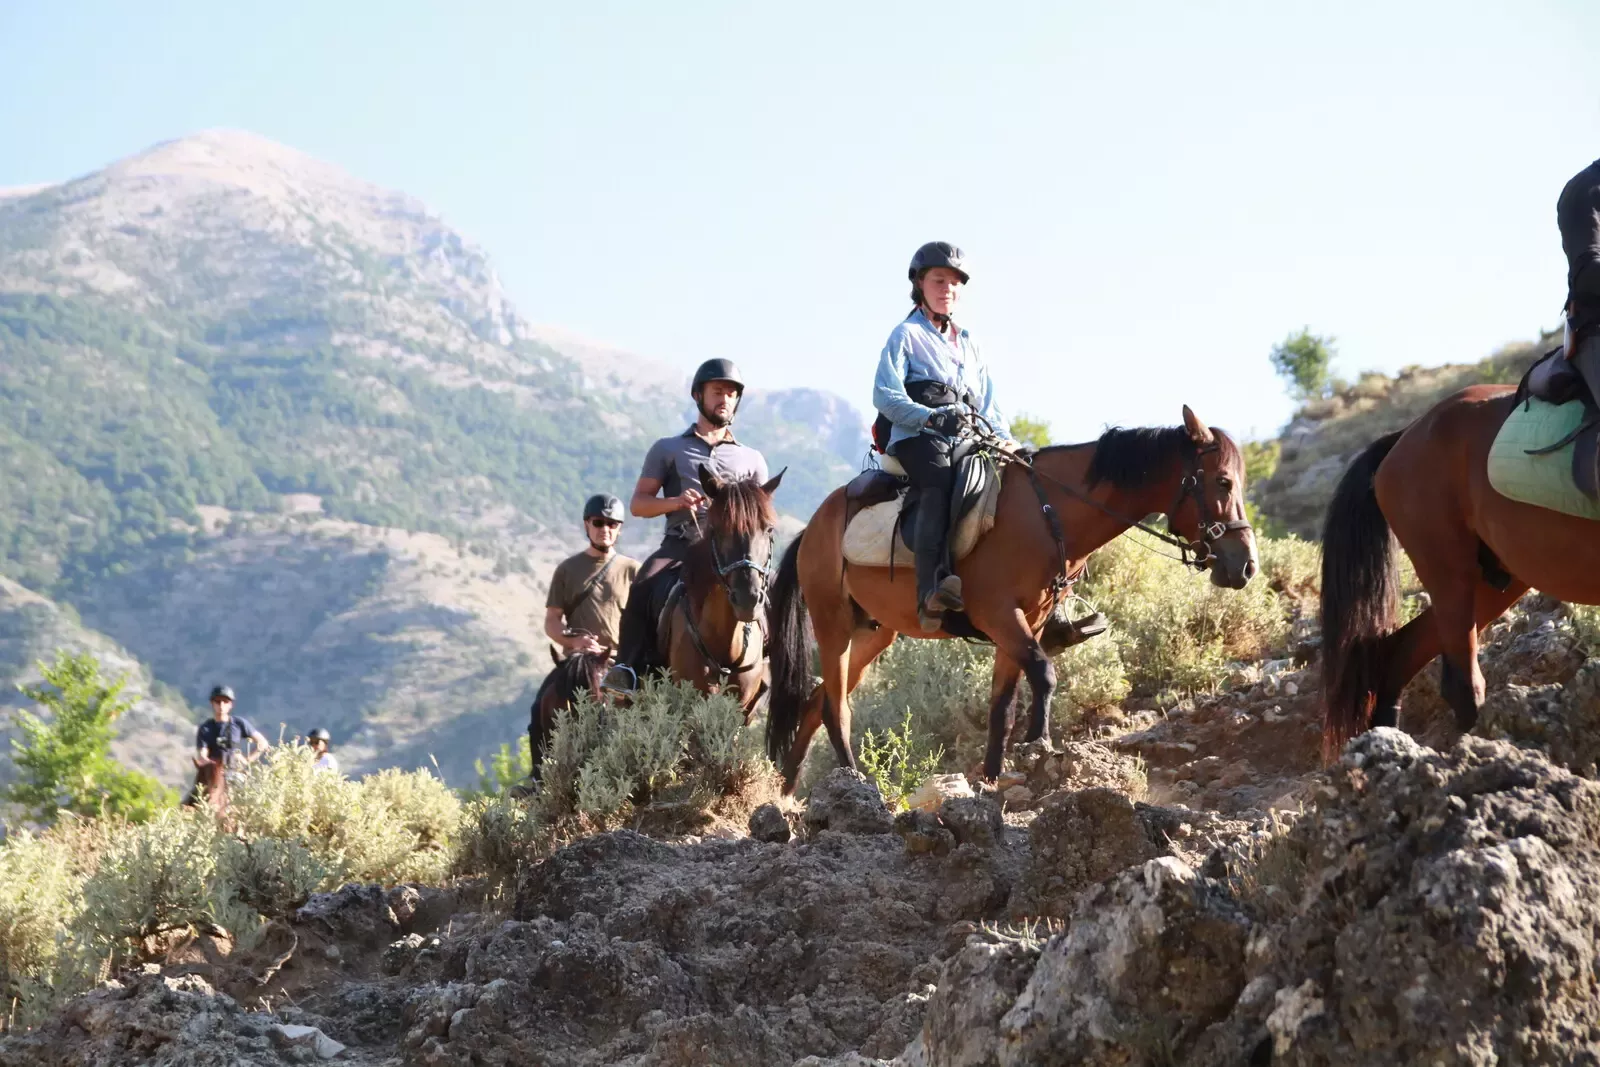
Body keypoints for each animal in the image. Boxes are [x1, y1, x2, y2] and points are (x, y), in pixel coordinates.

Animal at [1318, 382, 1600, 751]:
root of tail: (1406, 434)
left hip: (1496, 580)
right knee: (1461, 679)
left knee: (1403, 652)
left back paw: (1391, 737)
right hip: (1450, 574)